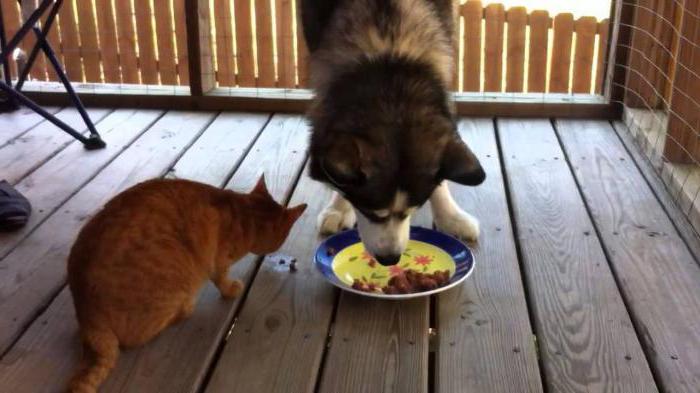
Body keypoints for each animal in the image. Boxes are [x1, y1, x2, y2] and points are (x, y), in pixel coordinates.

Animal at [66, 175, 306, 392]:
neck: (243, 214)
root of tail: (88, 317)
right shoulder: (218, 262)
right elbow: (222, 280)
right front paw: (231, 289)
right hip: (175, 288)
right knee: (141, 336)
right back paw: (185, 309)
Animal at [300, 0, 486, 264]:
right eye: (370, 212)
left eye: (412, 210)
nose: (390, 259)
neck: (389, 54)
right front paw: (338, 207)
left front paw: (450, 215)